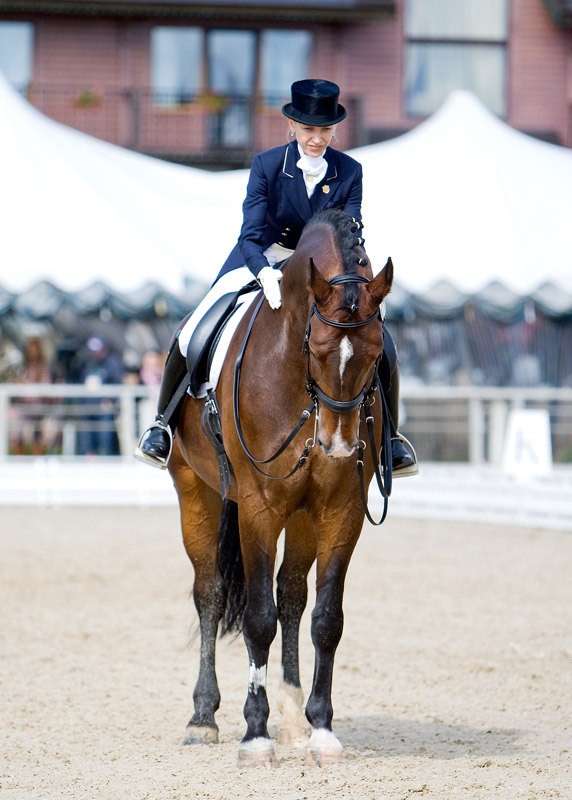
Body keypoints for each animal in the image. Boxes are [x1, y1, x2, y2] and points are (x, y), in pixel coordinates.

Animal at [170, 208, 394, 768]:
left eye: (377, 352)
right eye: (315, 348)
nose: (338, 447)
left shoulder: (340, 509)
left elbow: (325, 619)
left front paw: (322, 731)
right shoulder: (257, 508)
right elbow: (257, 620)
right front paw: (255, 736)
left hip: (303, 515)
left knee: (291, 594)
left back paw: (294, 721)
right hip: (196, 491)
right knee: (209, 593)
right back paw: (203, 719)